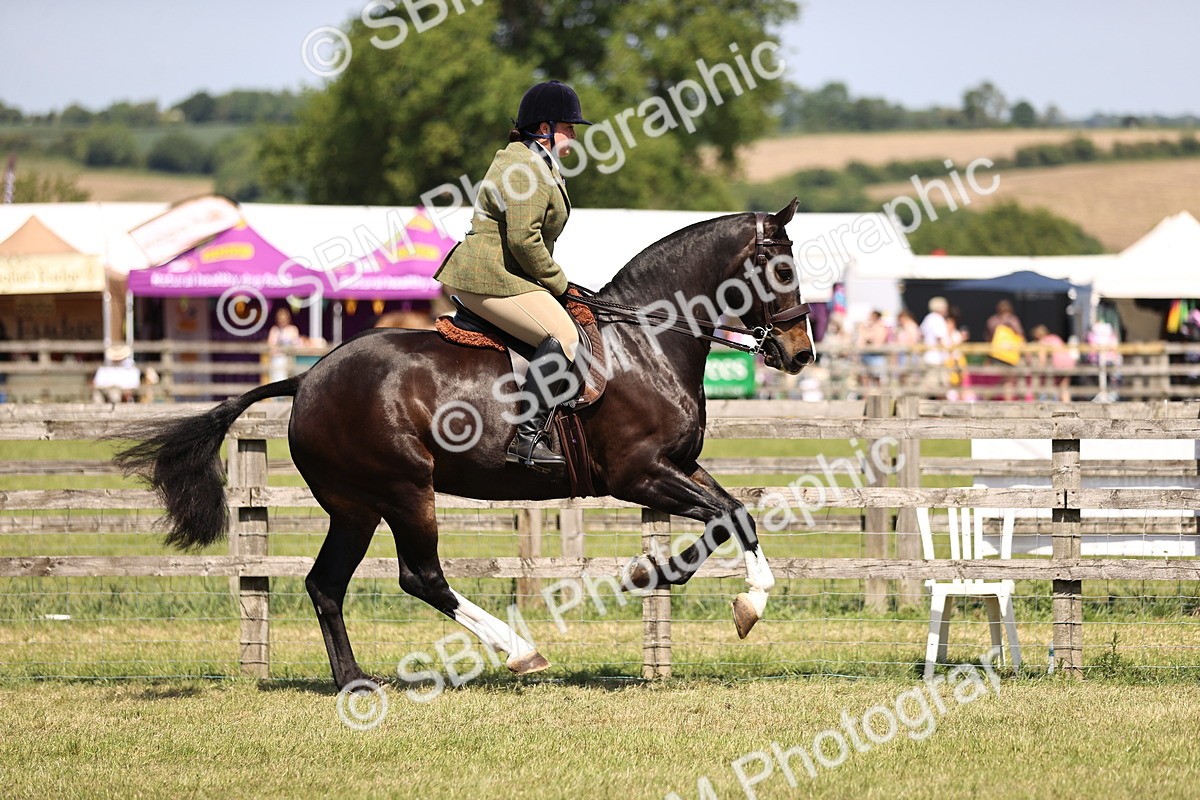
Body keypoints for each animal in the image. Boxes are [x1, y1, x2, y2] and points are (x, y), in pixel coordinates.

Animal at [113, 199, 815, 689]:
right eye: (781, 267)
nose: (801, 353)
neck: (643, 342)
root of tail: (308, 377)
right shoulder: (637, 473)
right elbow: (729, 514)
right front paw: (729, 597)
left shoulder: (678, 465)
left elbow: (734, 514)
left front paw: (683, 580)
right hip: (403, 490)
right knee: (420, 576)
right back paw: (520, 651)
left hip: (355, 506)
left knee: (326, 585)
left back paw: (354, 681)